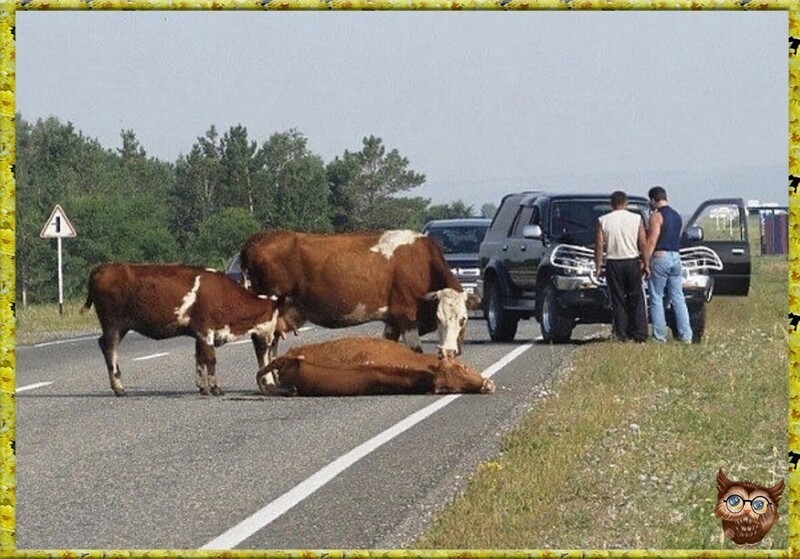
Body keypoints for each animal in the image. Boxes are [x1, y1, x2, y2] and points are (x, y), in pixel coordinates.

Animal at [80, 264, 288, 398]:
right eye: (274, 321)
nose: (270, 342)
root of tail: (101, 268)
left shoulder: (199, 334)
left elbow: (199, 358)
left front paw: (202, 387)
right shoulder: (206, 329)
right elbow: (210, 359)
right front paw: (215, 388)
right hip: (113, 323)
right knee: (109, 348)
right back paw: (119, 388)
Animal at [239, 228, 482, 368]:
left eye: (463, 319)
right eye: (438, 317)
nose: (448, 352)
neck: (422, 262)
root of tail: (259, 238)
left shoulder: (392, 320)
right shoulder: (406, 313)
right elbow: (415, 350)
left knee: (272, 344)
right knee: (262, 343)